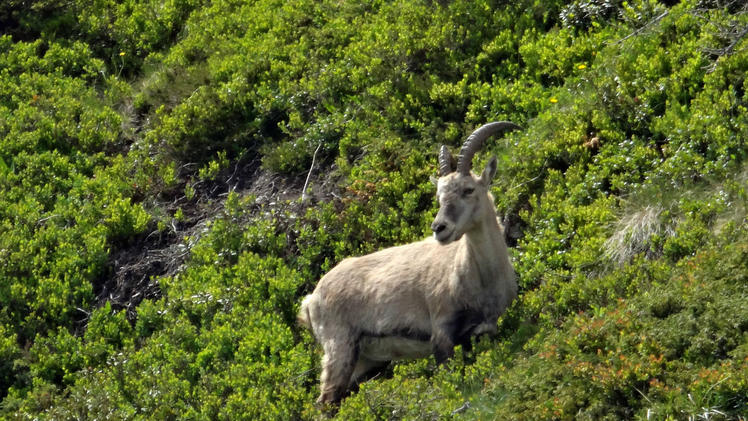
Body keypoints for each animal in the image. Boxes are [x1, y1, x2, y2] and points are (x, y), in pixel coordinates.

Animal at [298, 121, 520, 404]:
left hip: (364, 361)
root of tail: (311, 299)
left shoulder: (482, 332)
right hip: (339, 347)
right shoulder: (442, 332)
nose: (439, 228)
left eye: (469, 190)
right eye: (438, 196)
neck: (480, 276)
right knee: (326, 401)